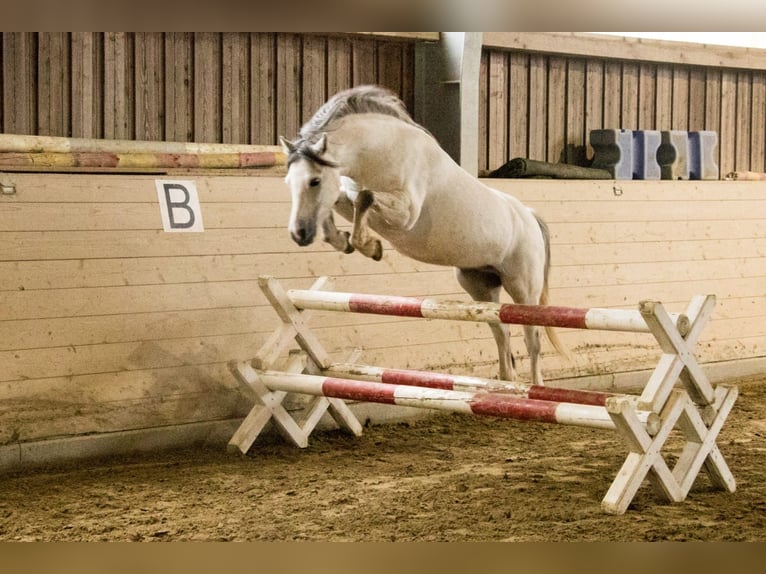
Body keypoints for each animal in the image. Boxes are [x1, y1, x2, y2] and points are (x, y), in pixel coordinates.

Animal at [280, 85, 568, 388]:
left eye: (314, 181)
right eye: (288, 181)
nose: (299, 234)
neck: (380, 150)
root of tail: (529, 215)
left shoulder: (405, 212)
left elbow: (364, 197)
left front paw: (370, 247)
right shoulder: (348, 197)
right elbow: (345, 203)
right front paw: (347, 242)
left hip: (523, 288)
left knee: (532, 339)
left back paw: (535, 387)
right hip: (480, 286)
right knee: (501, 332)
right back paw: (504, 384)